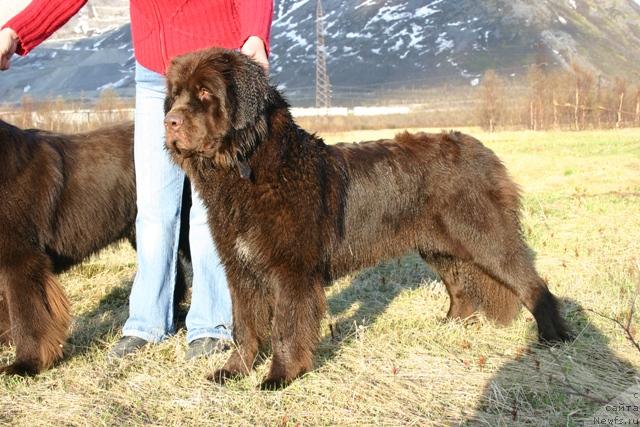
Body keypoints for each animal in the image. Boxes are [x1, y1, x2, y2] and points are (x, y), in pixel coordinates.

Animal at [164, 48, 568, 390]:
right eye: (175, 95)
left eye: (204, 92)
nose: (169, 121)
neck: (250, 170)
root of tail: (483, 151)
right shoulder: (240, 268)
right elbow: (244, 326)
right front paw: (233, 371)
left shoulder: (290, 271)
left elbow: (285, 327)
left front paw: (279, 377)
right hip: (439, 247)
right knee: (460, 287)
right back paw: (449, 324)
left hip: (487, 238)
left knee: (531, 282)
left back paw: (554, 337)